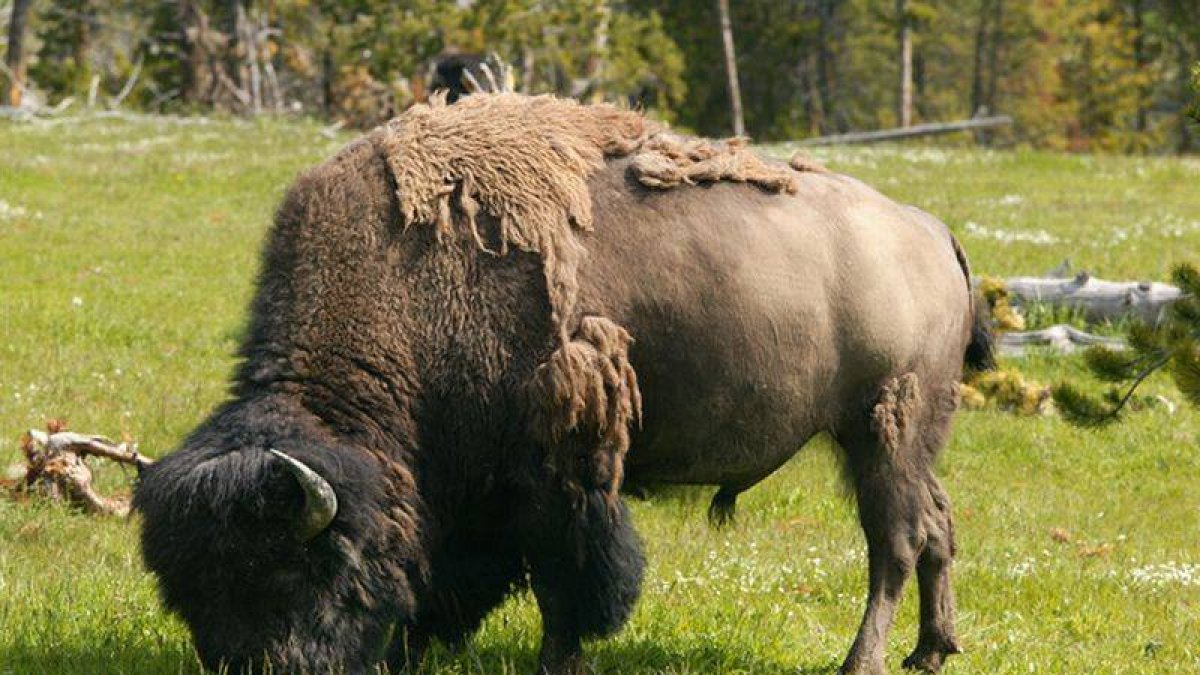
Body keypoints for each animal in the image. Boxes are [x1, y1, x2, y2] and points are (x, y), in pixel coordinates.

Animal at [133, 91, 993, 667]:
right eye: (190, 590)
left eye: (310, 572)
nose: (253, 665)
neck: (408, 279)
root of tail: (931, 231)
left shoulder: (559, 469)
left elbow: (570, 572)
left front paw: (556, 658)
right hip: (906, 441)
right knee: (937, 526)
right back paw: (932, 648)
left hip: (881, 431)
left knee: (895, 544)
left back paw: (864, 661)